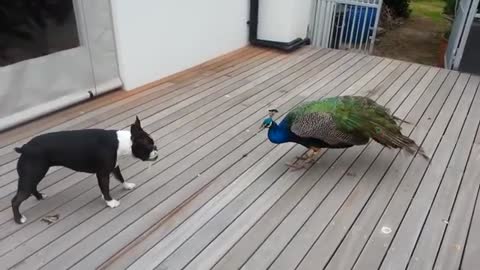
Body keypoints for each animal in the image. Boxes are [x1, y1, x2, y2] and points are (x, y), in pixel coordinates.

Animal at [11, 116, 158, 224]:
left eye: (153, 144)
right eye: (149, 146)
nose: (156, 150)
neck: (121, 143)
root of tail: (25, 147)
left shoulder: (114, 167)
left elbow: (120, 177)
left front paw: (126, 186)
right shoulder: (103, 173)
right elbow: (105, 187)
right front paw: (110, 202)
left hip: (35, 174)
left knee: (32, 187)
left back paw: (40, 196)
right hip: (32, 175)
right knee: (16, 200)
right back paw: (19, 219)